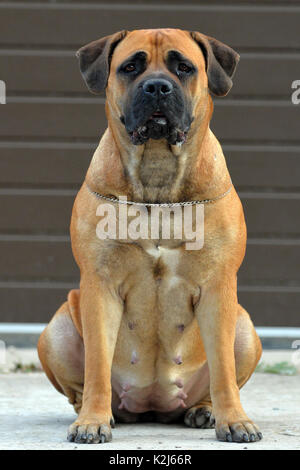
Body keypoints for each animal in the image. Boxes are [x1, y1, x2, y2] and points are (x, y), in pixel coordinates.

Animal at [37, 29, 262, 444]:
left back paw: (204, 410)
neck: (158, 176)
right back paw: (101, 413)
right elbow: (96, 365)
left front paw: (235, 420)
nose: (157, 86)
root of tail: (153, 405)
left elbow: (223, 369)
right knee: (80, 387)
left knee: (216, 377)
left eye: (184, 67)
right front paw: (92, 420)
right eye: (131, 67)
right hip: (57, 328)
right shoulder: (99, 286)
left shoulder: (219, 287)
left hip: (244, 326)